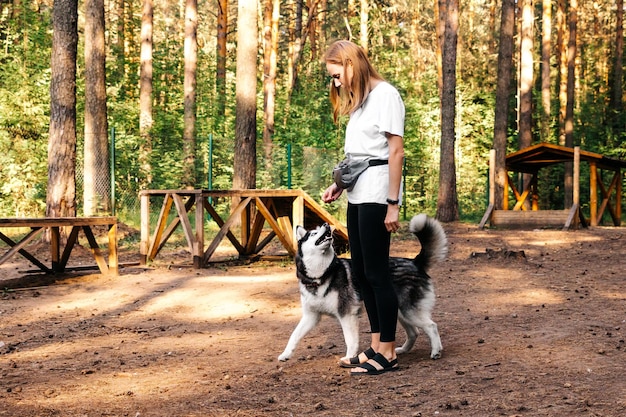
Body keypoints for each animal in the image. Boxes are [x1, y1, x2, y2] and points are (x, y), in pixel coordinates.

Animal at [276, 214, 444, 360]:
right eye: (313, 234)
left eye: (318, 230)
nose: (326, 225)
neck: (321, 275)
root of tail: (414, 262)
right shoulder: (311, 316)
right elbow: (294, 335)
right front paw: (285, 354)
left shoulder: (346, 315)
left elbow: (350, 339)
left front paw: (349, 357)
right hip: (400, 312)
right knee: (414, 332)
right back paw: (403, 349)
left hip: (409, 312)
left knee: (431, 326)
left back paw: (436, 351)